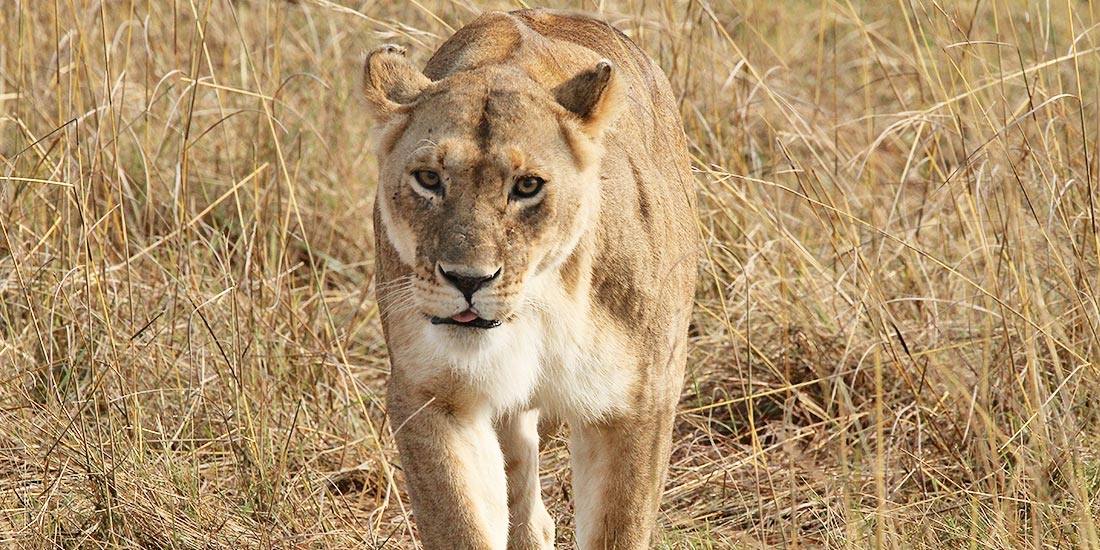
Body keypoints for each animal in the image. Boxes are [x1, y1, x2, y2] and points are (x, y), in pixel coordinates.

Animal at [362, 8, 697, 549]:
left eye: (527, 186)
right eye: (429, 179)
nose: (467, 280)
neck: (543, 308)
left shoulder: (639, 402)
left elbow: (620, 527)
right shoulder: (433, 393)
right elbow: (460, 522)